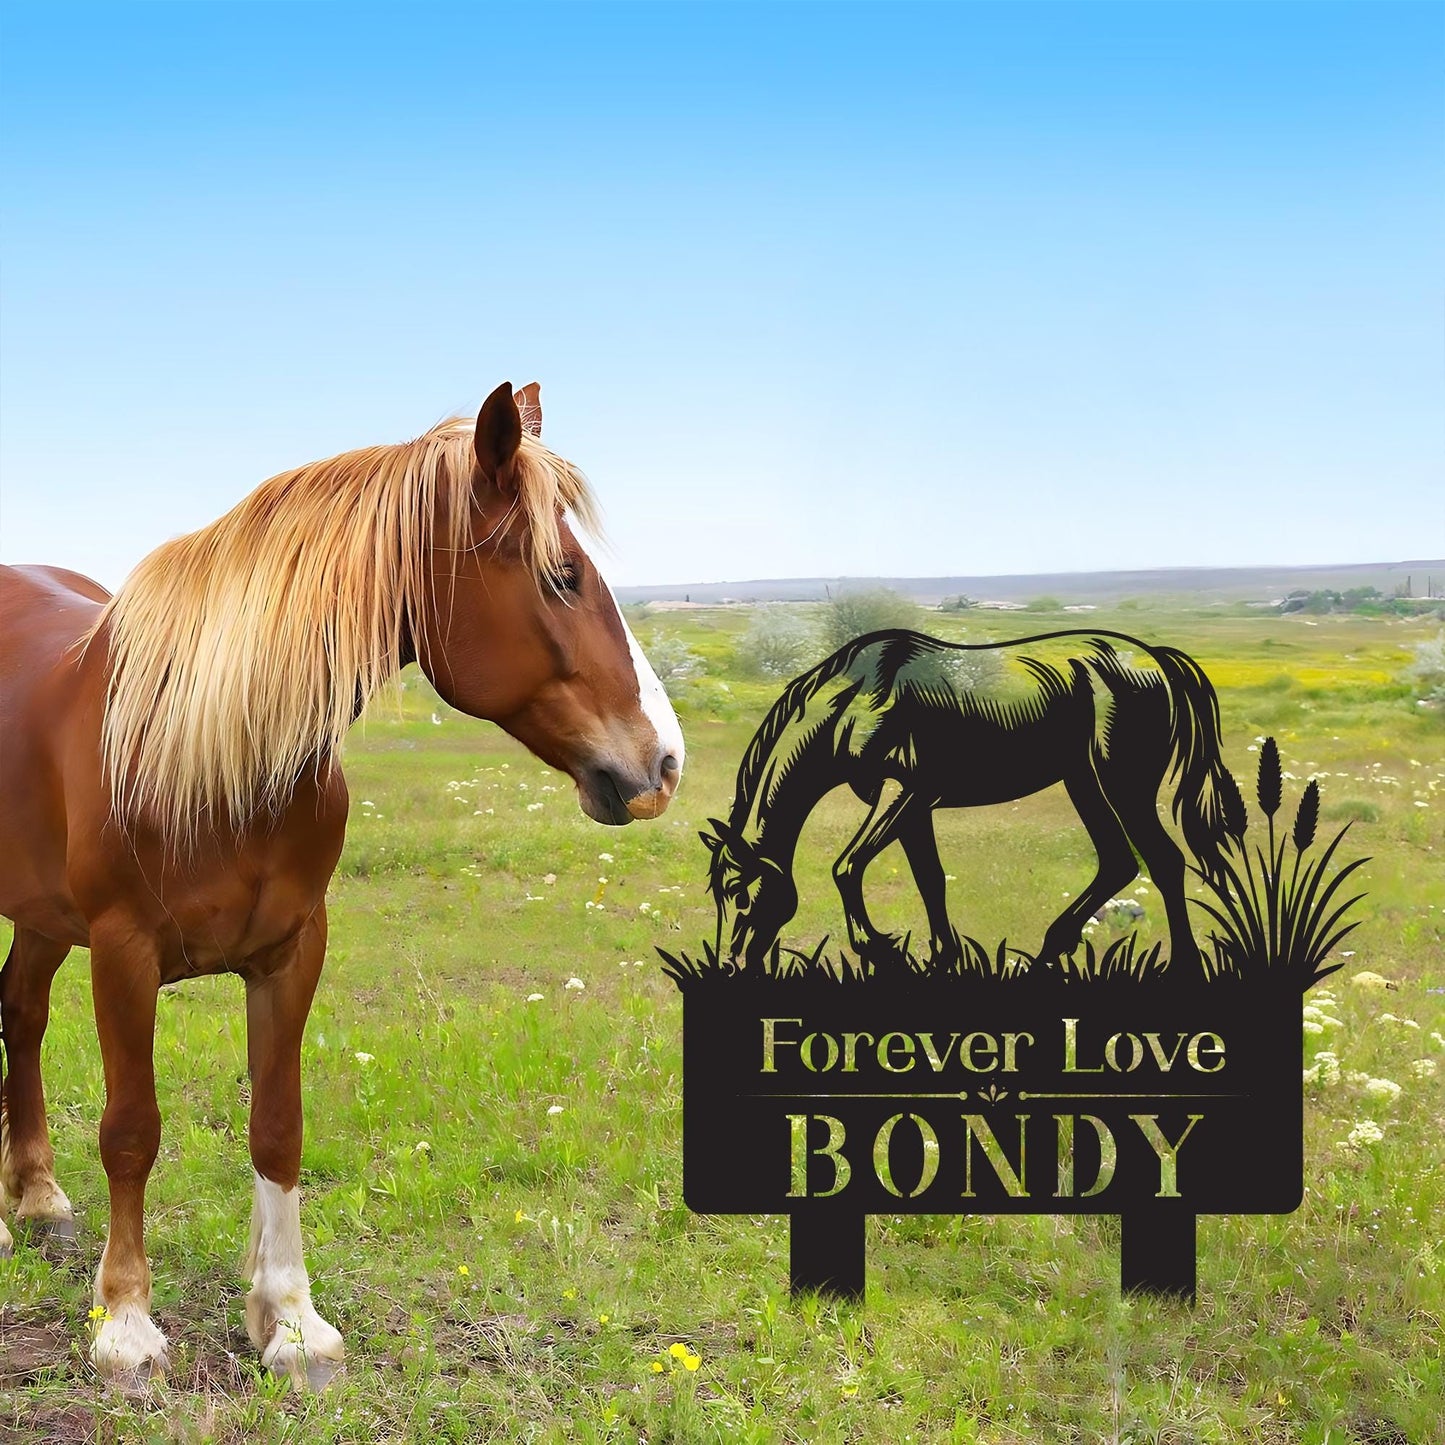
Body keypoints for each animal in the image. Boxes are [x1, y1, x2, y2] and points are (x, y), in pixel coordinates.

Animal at [0, 382, 685, 1384]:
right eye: (561, 575)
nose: (662, 763)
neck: (209, 746)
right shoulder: (123, 953)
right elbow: (132, 1130)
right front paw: (125, 1323)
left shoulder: (292, 950)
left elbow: (277, 1126)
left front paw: (289, 1321)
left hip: (45, 915)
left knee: (20, 1012)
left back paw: (37, 1195)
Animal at [701, 628, 1230, 974]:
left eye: (740, 894)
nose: (730, 964)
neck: (857, 701)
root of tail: (1157, 660)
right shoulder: (914, 808)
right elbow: (931, 881)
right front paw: (943, 958)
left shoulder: (903, 794)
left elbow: (847, 867)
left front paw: (880, 948)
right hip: (1083, 782)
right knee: (1119, 862)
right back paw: (1046, 953)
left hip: (1121, 784)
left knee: (1163, 860)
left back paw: (1183, 966)